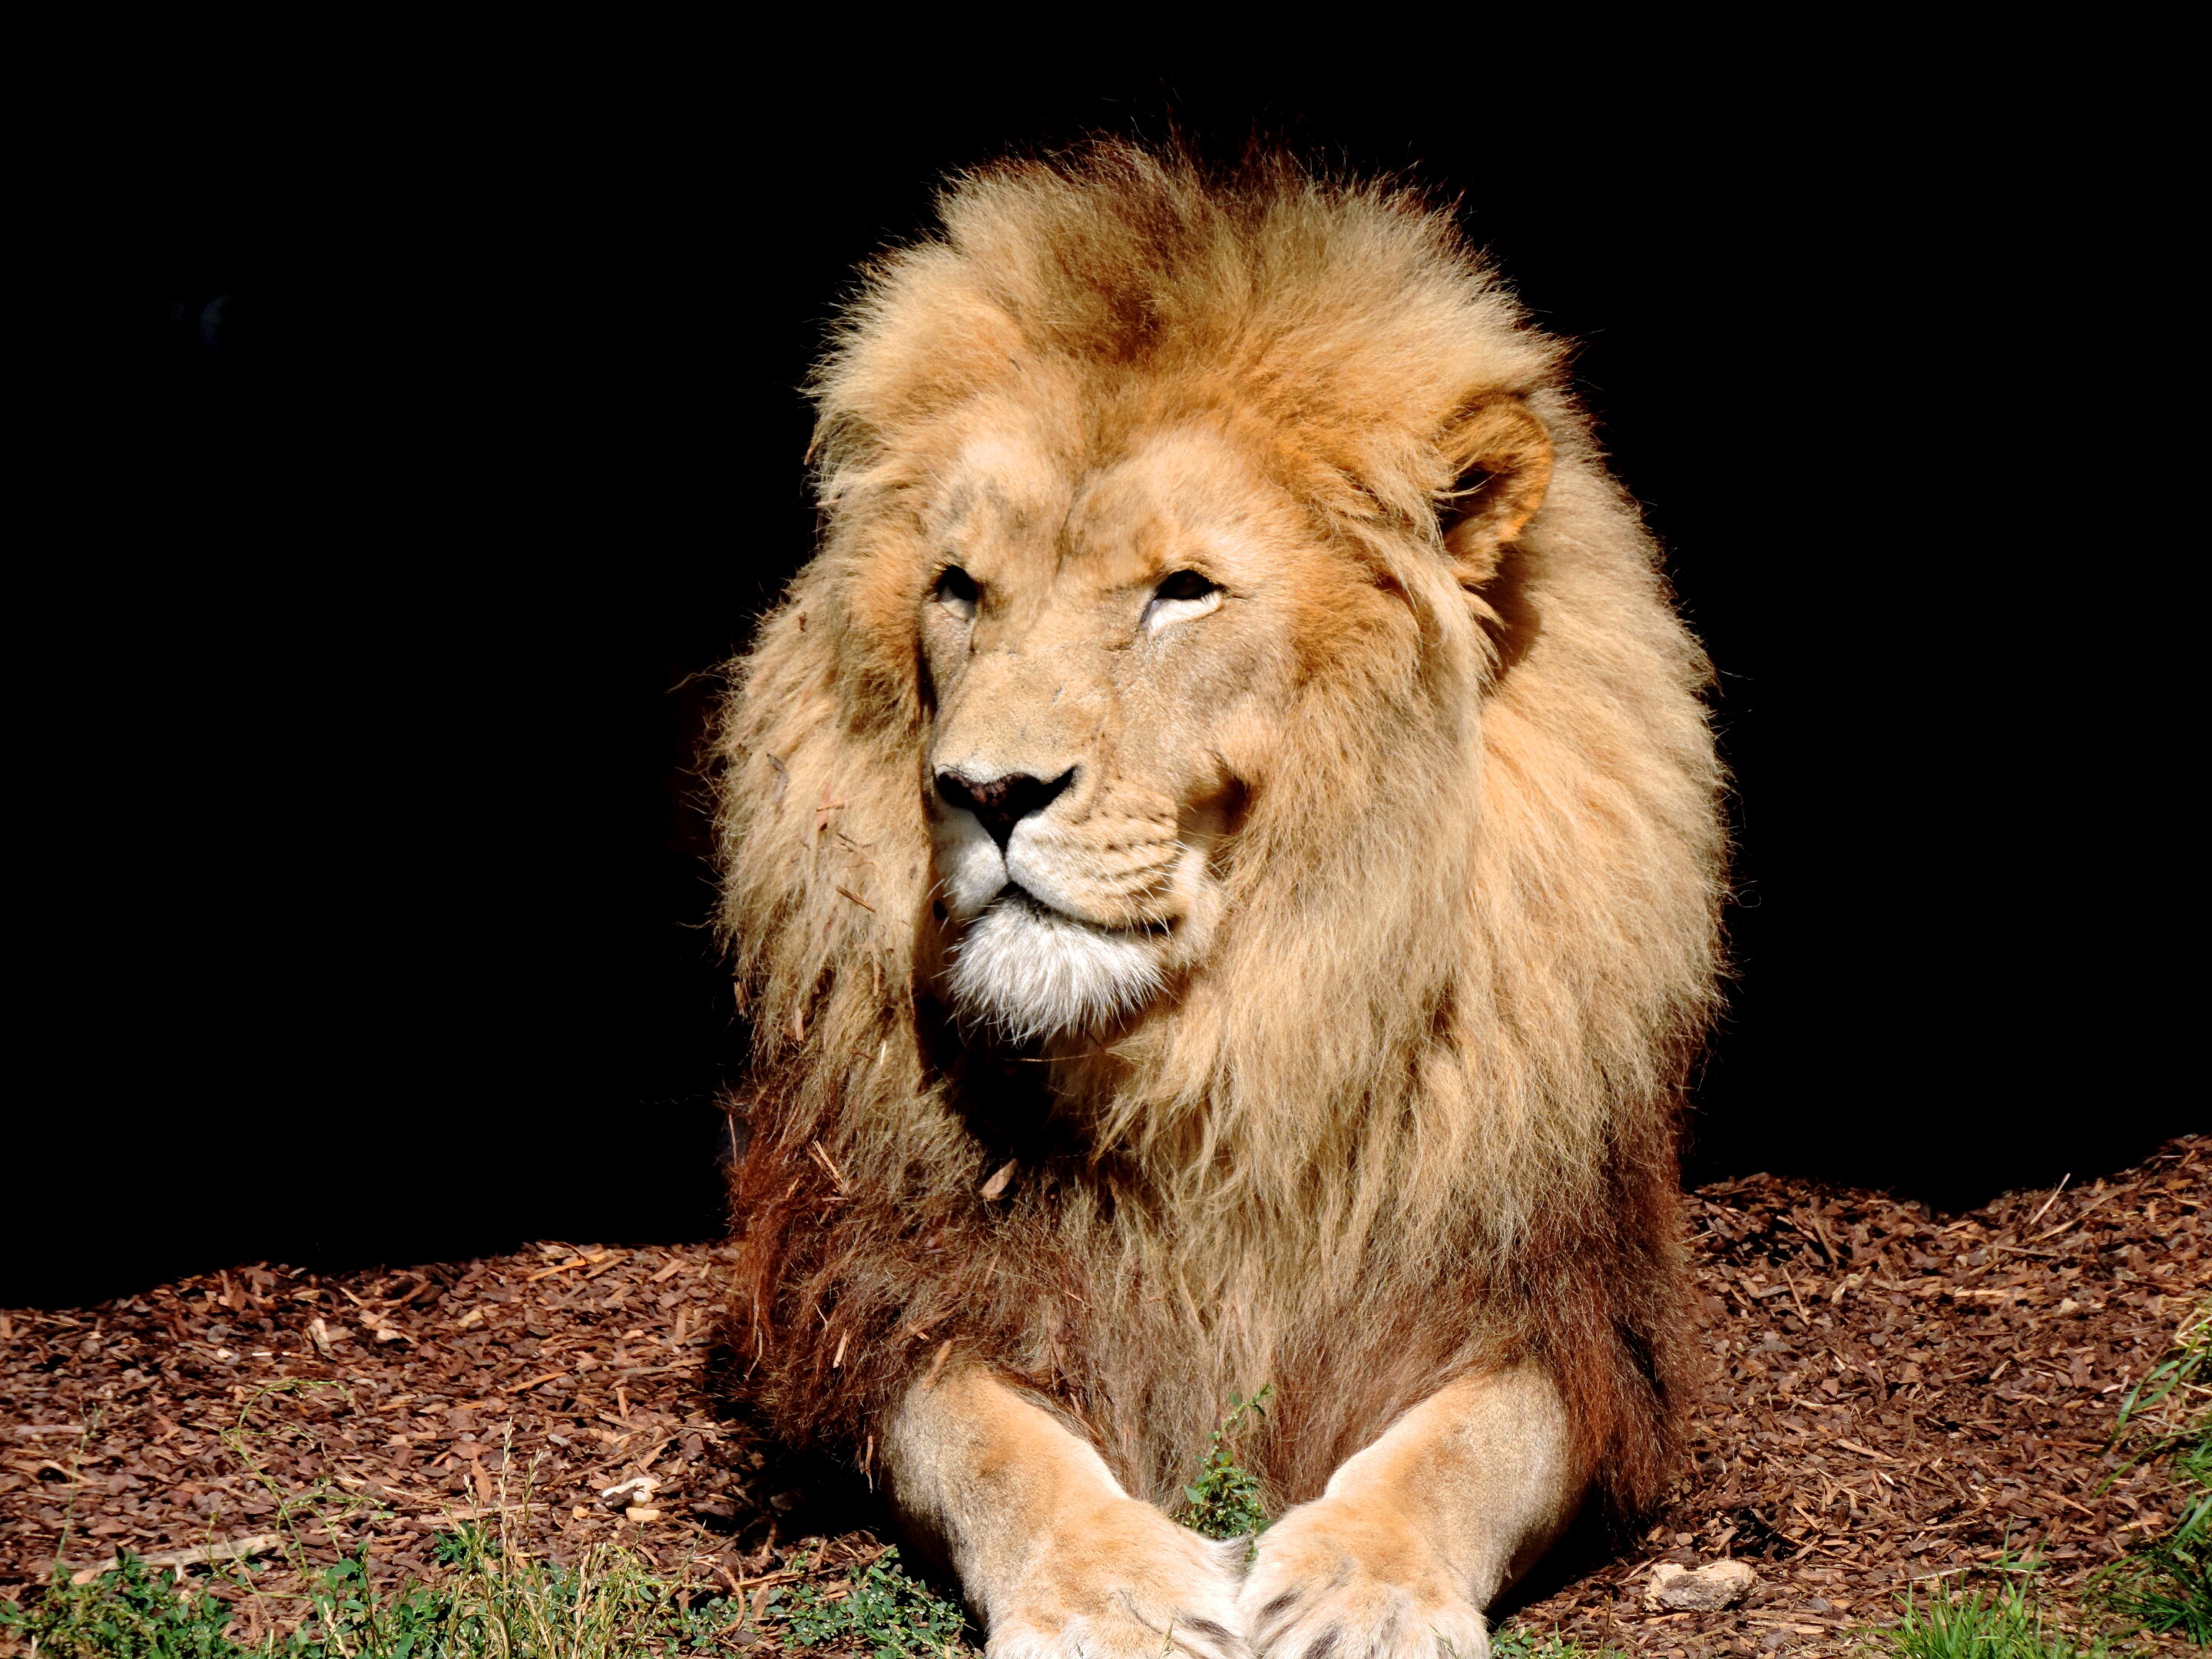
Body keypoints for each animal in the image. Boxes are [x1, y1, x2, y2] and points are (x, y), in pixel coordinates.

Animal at [714, 144, 1724, 1658]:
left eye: (1181, 592)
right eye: (961, 588)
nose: (984, 789)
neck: (1232, 1047)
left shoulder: (1568, 1308)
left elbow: (1473, 1444)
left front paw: (1366, 1583)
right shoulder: (886, 1295)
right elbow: (992, 1444)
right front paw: (1109, 1589)